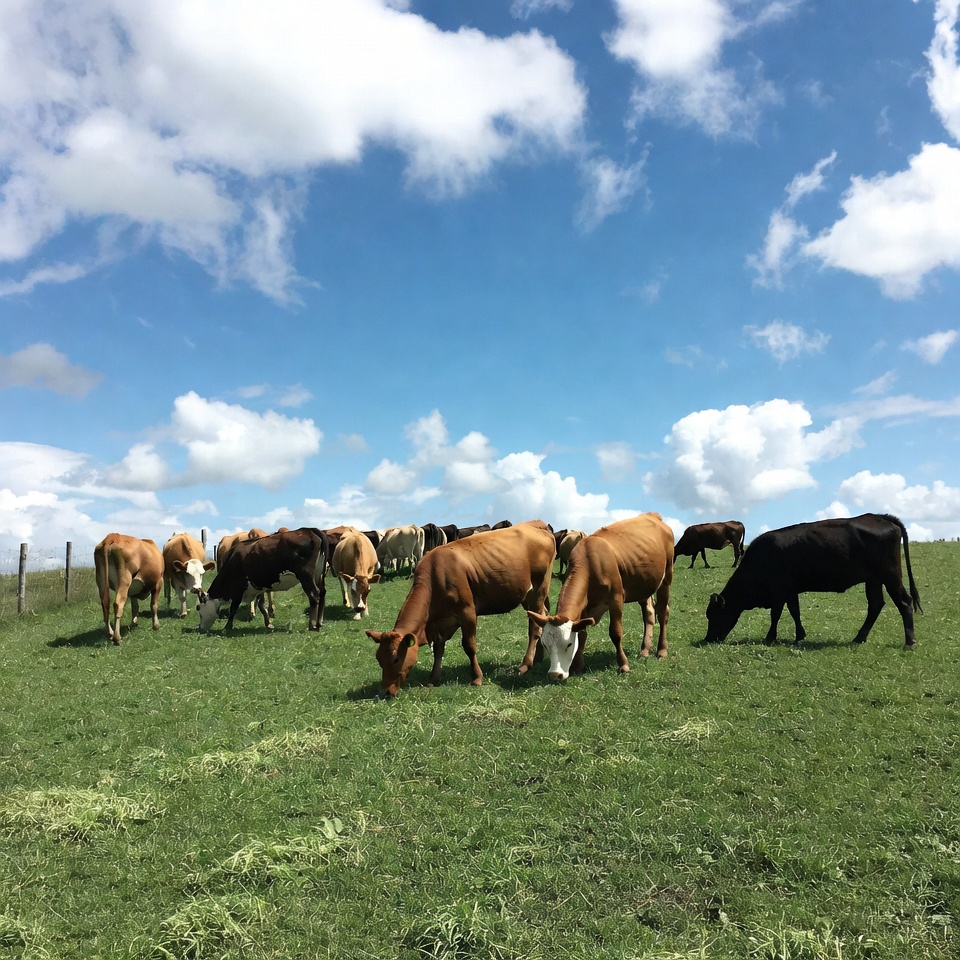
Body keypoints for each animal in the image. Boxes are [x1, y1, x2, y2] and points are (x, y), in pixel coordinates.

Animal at [197, 527, 330, 632]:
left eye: (198, 608)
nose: (200, 628)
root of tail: (309, 530)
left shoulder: (238, 589)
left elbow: (233, 608)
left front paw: (227, 627)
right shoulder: (259, 586)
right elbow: (261, 605)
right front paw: (268, 624)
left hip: (306, 576)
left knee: (314, 595)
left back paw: (312, 625)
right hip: (319, 575)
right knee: (322, 593)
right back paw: (319, 623)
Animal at [365, 519, 556, 696]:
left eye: (396, 659)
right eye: (379, 659)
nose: (385, 691)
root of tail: (535, 524)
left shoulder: (467, 612)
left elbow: (469, 645)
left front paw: (477, 677)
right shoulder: (441, 623)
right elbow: (438, 649)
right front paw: (433, 678)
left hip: (539, 588)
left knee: (534, 627)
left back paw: (525, 664)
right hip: (526, 594)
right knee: (540, 618)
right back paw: (538, 657)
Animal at [525, 513, 674, 681]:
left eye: (568, 644)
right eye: (545, 644)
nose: (555, 675)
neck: (590, 564)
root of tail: (653, 515)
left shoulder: (616, 600)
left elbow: (615, 633)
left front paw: (623, 665)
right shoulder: (585, 607)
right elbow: (582, 633)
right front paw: (577, 666)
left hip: (667, 577)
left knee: (662, 612)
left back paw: (662, 650)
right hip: (644, 584)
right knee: (649, 613)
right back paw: (645, 649)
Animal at [703, 513, 922, 649]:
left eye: (714, 615)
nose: (708, 639)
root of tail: (879, 516)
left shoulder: (779, 591)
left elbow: (776, 614)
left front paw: (770, 637)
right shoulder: (791, 591)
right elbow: (795, 612)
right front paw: (800, 636)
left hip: (890, 575)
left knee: (904, 602)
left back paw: (909, 642)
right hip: (873, 579)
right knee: (875, 604)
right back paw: (859, 638)